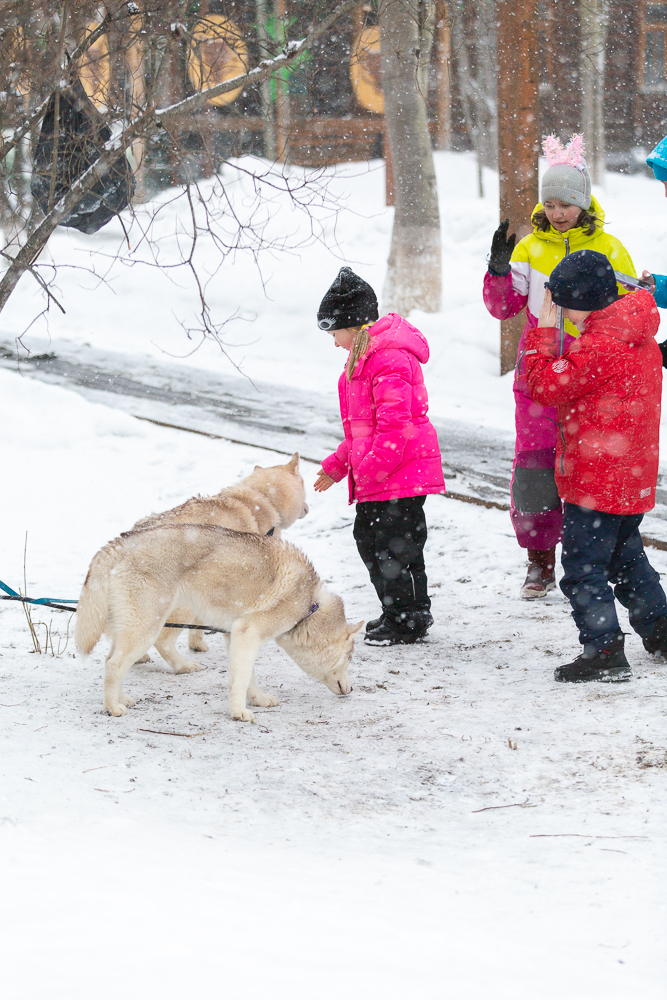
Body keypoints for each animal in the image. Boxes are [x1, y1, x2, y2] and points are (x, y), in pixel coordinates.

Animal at [75, 524, 362, 720]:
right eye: (349, 658)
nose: (350, 690)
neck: (309, 607)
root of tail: (120, 543)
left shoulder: (236, 635)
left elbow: (247, 677)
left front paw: (257, 700)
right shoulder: (249, 634)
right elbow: (242, 678)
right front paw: (238, 712)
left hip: (131, 628)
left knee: (111, 660)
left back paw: (122, 698)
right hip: (147, 628)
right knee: (114, 664)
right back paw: (112, 707)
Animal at [131, 458, 308, 676]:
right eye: (304, 485)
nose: (307, 508)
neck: (261, 497)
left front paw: (197, 643)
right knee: (162, 640)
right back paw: (183, 665)